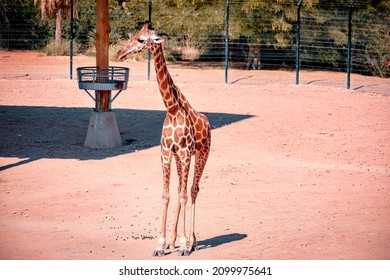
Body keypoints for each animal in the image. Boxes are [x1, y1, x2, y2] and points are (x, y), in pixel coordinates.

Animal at [117, 23, 212, 258]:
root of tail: (207, 122)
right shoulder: (167, 151)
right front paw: (161, 244)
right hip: (181, 158)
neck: (172, 108)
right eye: (135, 35)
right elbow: (167, 195)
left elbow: (184, 195)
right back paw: (172, 241)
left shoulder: (185, 152)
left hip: (202, 153)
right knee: (180, 189)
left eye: (141, 40)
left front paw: (185, 244)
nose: (120, 53)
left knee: (193, 190)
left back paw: (192, 242)